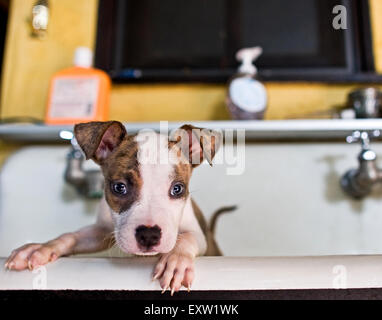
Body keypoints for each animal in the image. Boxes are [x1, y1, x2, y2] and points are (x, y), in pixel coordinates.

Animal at [5, 120, 224, 296]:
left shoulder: (198, 234)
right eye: (119, 187)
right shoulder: (101, 231)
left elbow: (187, 238)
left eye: (177, 189)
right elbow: (71, 236)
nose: (149, 235)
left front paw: (176, 262)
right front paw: (42, 248)